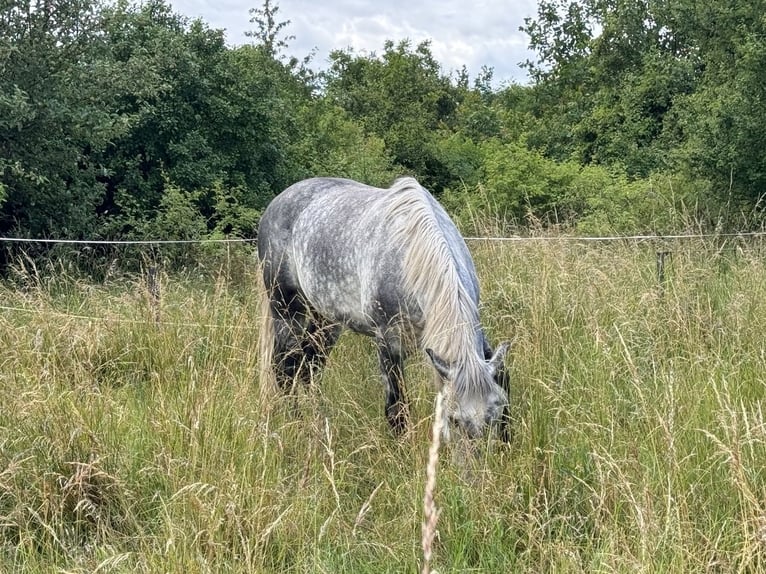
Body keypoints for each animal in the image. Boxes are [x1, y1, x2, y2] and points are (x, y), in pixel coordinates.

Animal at [256, 178, 510, 444]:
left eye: (497, 410)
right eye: (454, 419)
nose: (477, 456)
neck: (413, 260)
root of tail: (278, 201)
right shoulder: (388, 342)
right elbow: (397, 408)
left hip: (325, 320)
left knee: (308, 368)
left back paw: (318, 423)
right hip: (287, 311)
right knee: (285, 369)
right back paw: (295, 424)